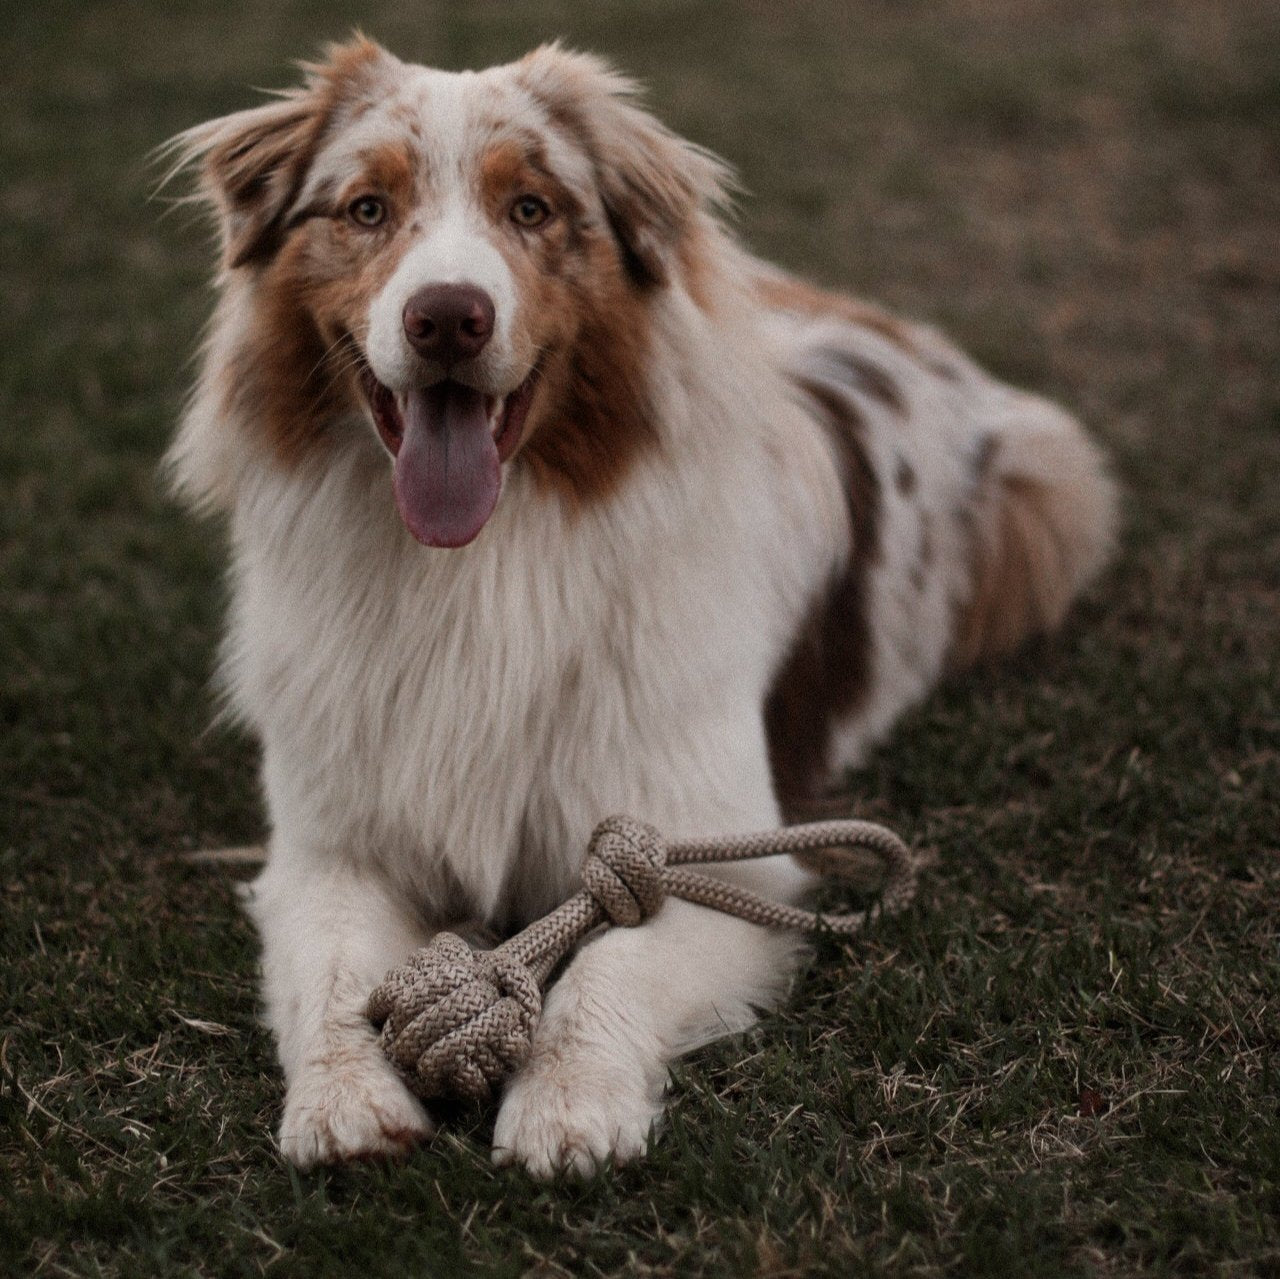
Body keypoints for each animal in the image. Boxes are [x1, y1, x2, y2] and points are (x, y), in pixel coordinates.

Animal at [165, 37, 1116, 1177]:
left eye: (532, 208)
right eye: (365, 208)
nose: (447, 317)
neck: (483, 568)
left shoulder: (720, 854)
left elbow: (604, 971)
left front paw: (569, 1105)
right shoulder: (328, 845)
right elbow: (339, 973)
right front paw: (344, 1100)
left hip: (1051, 487)